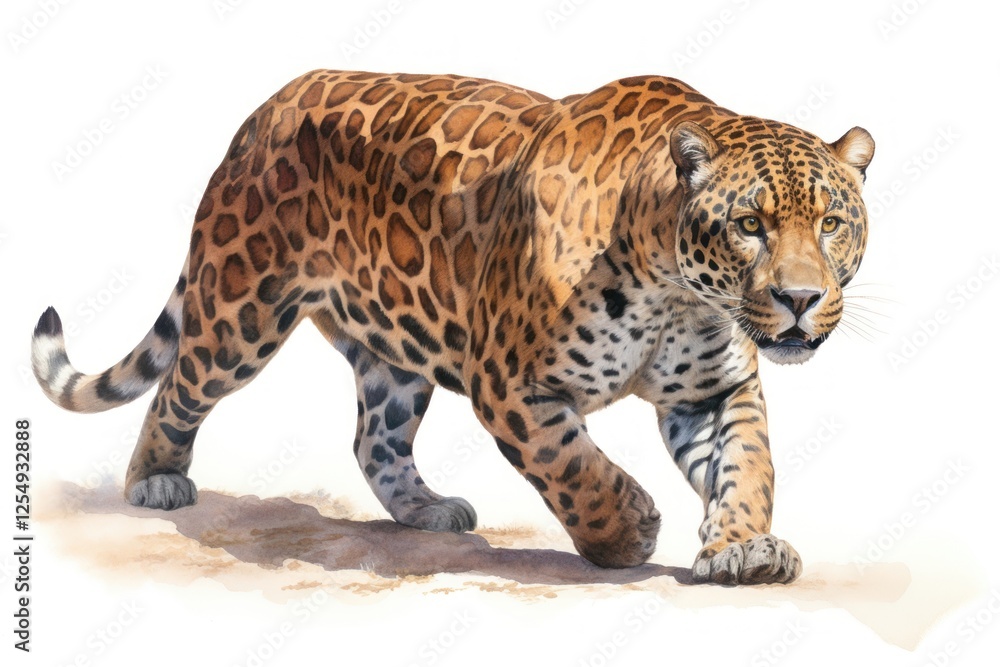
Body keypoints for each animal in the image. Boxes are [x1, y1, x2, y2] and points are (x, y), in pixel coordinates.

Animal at [31, 69, 874, 585]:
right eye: (749, 225)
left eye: (830, 222)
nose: (800, 298)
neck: (675, 289)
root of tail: (267, 108)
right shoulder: (511, 381)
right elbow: (574, 466)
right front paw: (626, 530)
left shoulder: (713, 391)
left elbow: (747, 467)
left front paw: (744, 548)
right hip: (242, 308)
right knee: (177, 386)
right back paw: (155, 480)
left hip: (394, 346)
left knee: (374, 438)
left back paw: (428, 510)